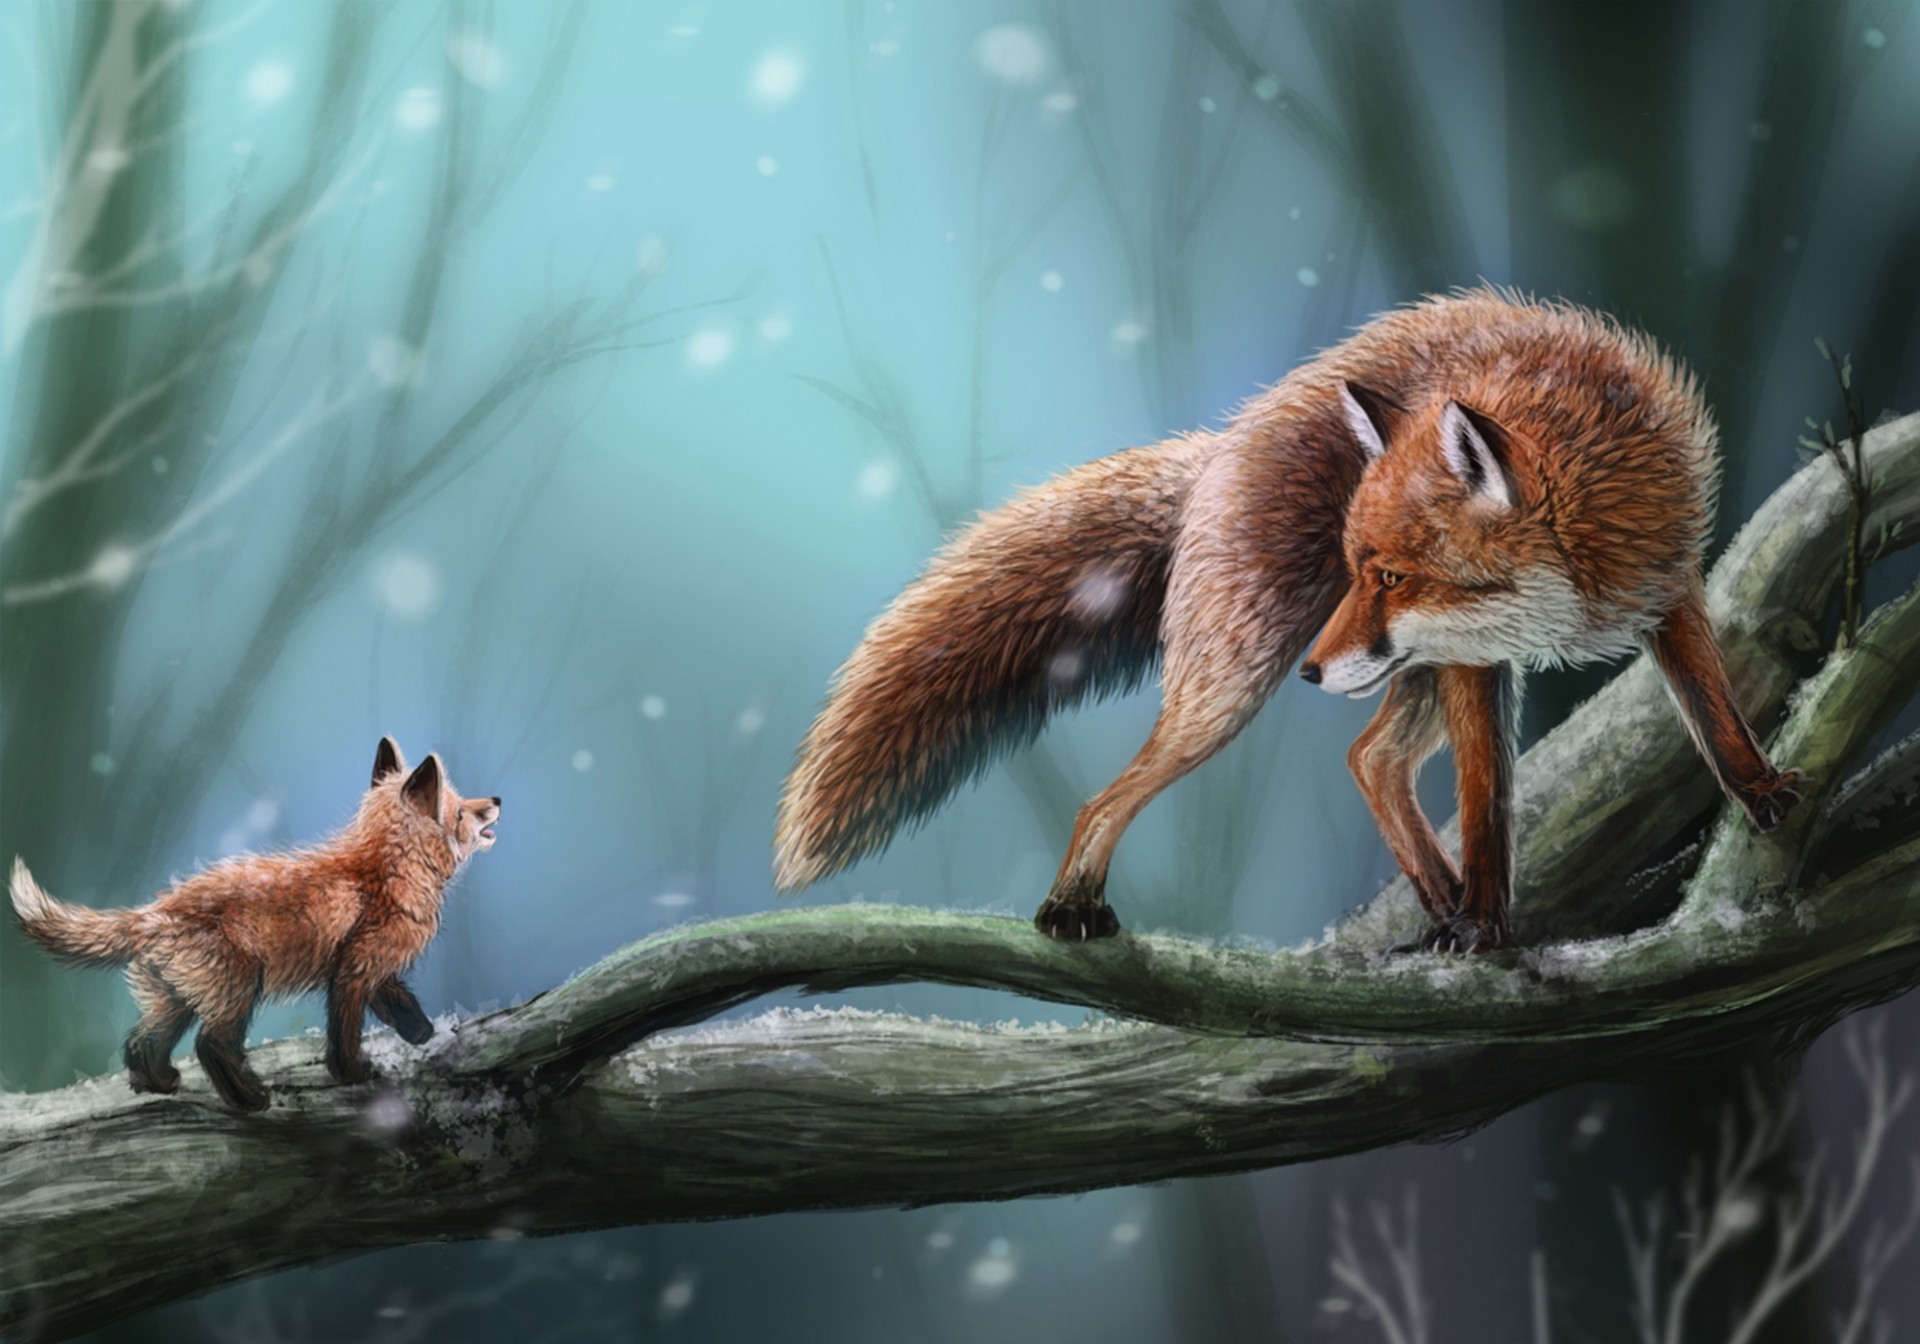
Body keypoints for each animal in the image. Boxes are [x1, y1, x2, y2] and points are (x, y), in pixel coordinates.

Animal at [10, 738, 500, 1110]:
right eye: (461, 811)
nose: (495, 800)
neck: (385, 869)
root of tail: (154, 911)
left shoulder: (372, 968)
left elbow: (403, 1006)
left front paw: (423, 1034)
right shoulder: (354, 971)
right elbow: (345, 1032)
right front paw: (353, 1073)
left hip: (176, 1000)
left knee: (140, 1041)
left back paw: (160, 1084)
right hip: (239, 989)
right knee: (210, 1045)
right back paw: (248, 1100)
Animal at [773, 287, 1802, 951]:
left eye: (1390, 574)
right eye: (1357, 571)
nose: (1310, 673)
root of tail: (1225, 441)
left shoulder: (1661, 590)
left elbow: (1712, 708)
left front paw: (1761, 792)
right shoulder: (1475, 665)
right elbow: (1486, 808)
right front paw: (1484, 920)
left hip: (1401, 671)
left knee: (1369, 759)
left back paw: (1433, 902)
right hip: (1239, 686)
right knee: (1114, 797)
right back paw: (1072, 907)